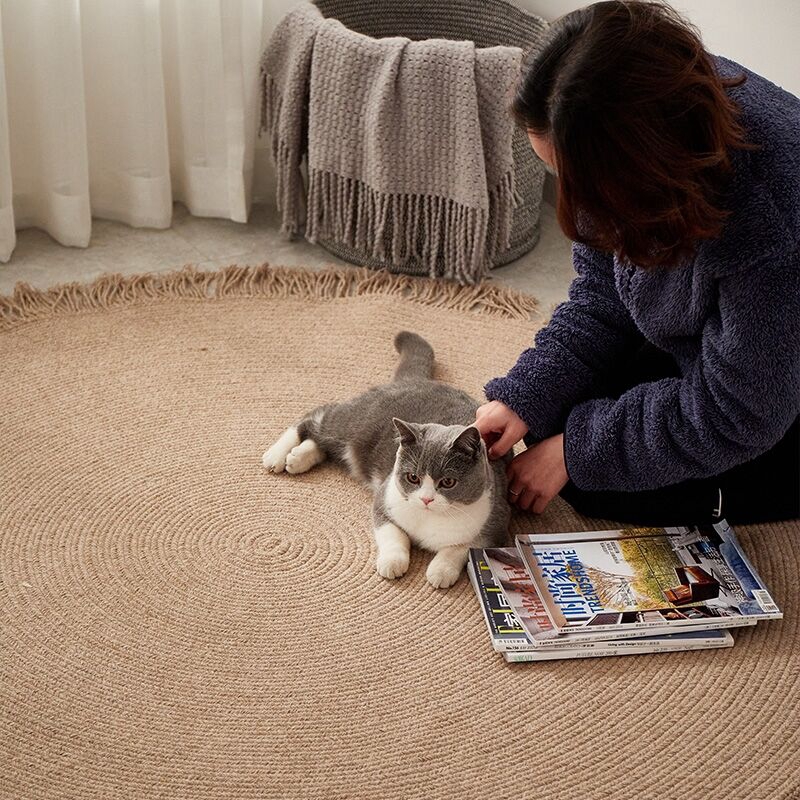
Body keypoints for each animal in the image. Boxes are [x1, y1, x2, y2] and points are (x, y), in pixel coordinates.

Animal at [262, 330, 512, 588]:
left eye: (448, 482)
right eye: (413, 477)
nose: (426, 499)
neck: (429, 519)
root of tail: (415, 380)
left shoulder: (496, 525)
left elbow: (460, 548)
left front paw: (441, 570)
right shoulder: (383, 501)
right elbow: (394, 534)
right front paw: (392, 563)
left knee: (324, 443)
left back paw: (297, 458)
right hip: (355, 424)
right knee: (316, 417)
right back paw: (277, 455)